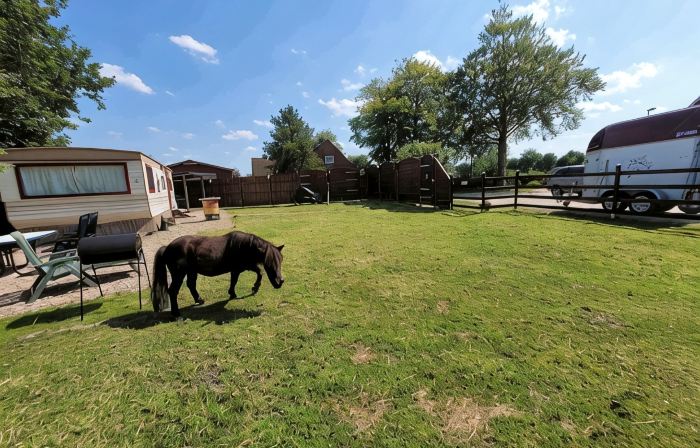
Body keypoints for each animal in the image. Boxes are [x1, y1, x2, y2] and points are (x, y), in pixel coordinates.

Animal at [151, 231, 285, 317]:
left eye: (281, 260)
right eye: (268, 263)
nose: (280, 282)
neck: (243, 246)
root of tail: (167, 248)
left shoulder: (246, 266)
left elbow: (259, 272)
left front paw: (254, 288)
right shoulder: (237, 269)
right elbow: (235, 280)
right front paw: (234, 293)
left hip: (191, 271)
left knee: (191, 285)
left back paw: (199, 300)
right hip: (179, 274)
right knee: (173, 291)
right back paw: (176, 313)